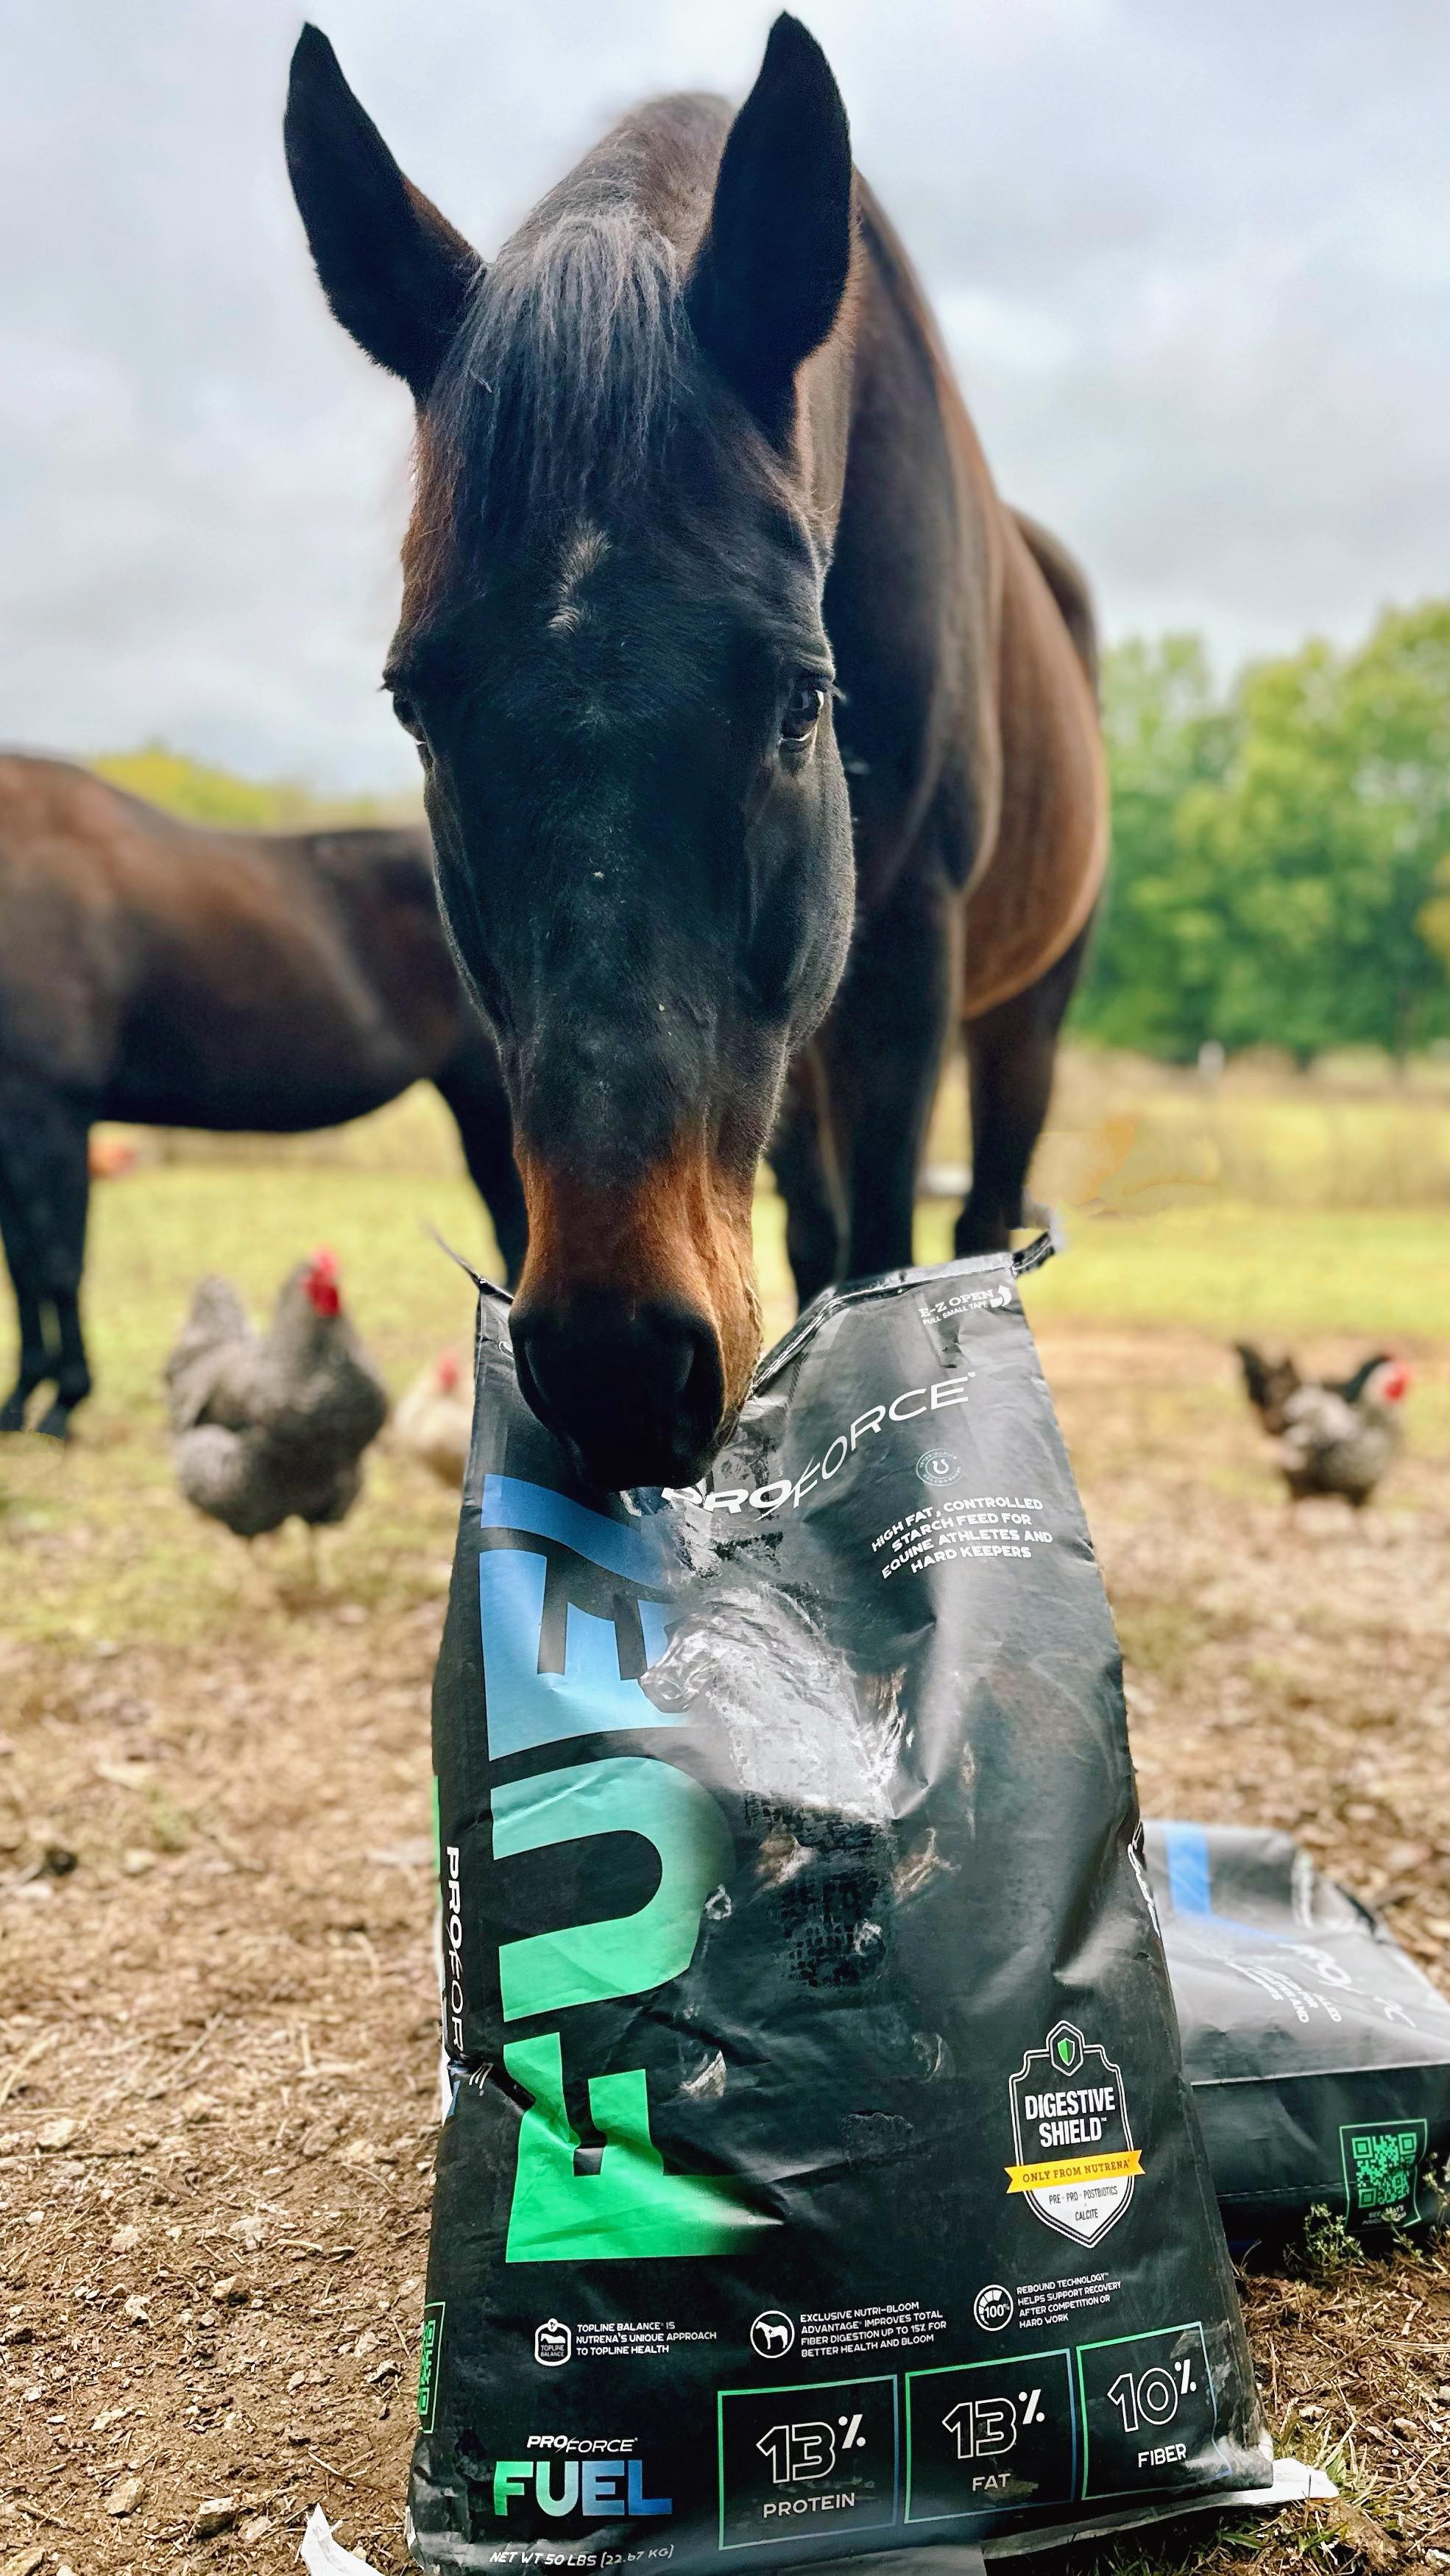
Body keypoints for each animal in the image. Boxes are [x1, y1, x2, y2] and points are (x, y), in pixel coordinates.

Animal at [285, 12, 1107, 1493]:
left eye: (802, 697)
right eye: (413, 708)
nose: (615, 1366)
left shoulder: (907, 960)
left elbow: (888, 1251)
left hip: (1022, 1008)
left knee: (981, 1214)